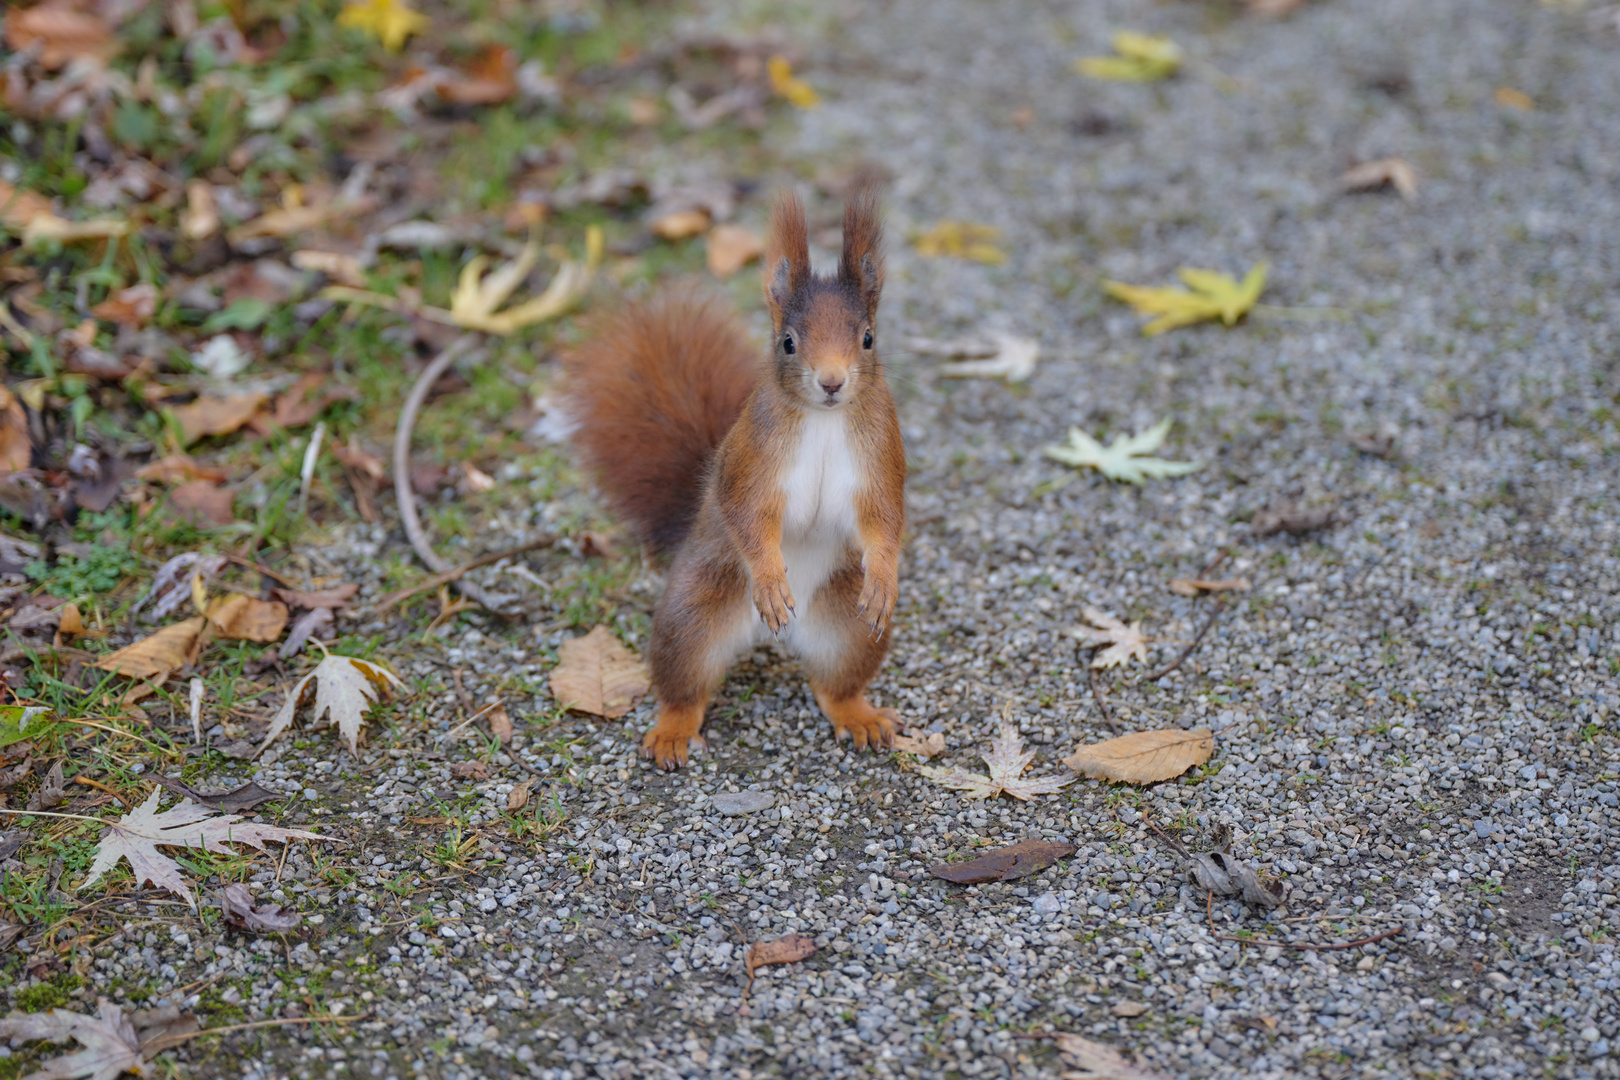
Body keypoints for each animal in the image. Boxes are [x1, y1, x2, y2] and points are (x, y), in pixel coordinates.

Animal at [563, 186, 907, 767]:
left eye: (867, 338)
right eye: (788, 342)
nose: (832, 382)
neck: (824, 419)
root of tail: (771, 637)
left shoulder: (881, 457)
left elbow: (884, 518)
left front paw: (884, 576)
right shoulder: (752, 461)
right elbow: (746, 513)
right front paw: (769, 578)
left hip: (850, 628)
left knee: (835, 685)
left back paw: (858, 715)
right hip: (692, 615)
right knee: (684, 685)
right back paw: (674, 730)